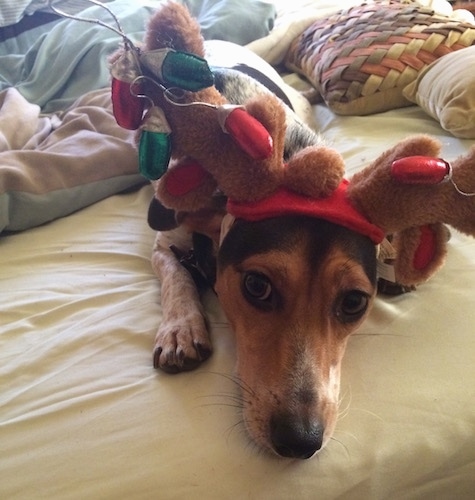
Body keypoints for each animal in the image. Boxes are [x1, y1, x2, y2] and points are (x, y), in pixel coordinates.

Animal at [150, 41, 380, 458]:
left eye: (354, 302)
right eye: (256, 286)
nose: (301, 441)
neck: (284, 156)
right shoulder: (163, 240)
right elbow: (175, 274)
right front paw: (180, 328)